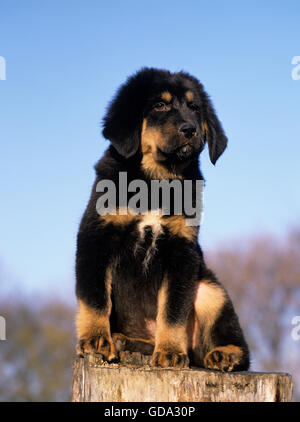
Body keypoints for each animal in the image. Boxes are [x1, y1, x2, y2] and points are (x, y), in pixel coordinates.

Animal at [75, 67, 251, 370]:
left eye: (194, 108)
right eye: (160, 105)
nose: (190, 129)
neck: (158, 180)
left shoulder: (181, 250)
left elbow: (172, 309)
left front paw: (169, 353)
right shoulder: (96, 236)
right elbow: (94, 297)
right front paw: (96, 339)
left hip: (210, 291)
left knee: (238, 347)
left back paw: (225, 353)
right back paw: (124, 340)